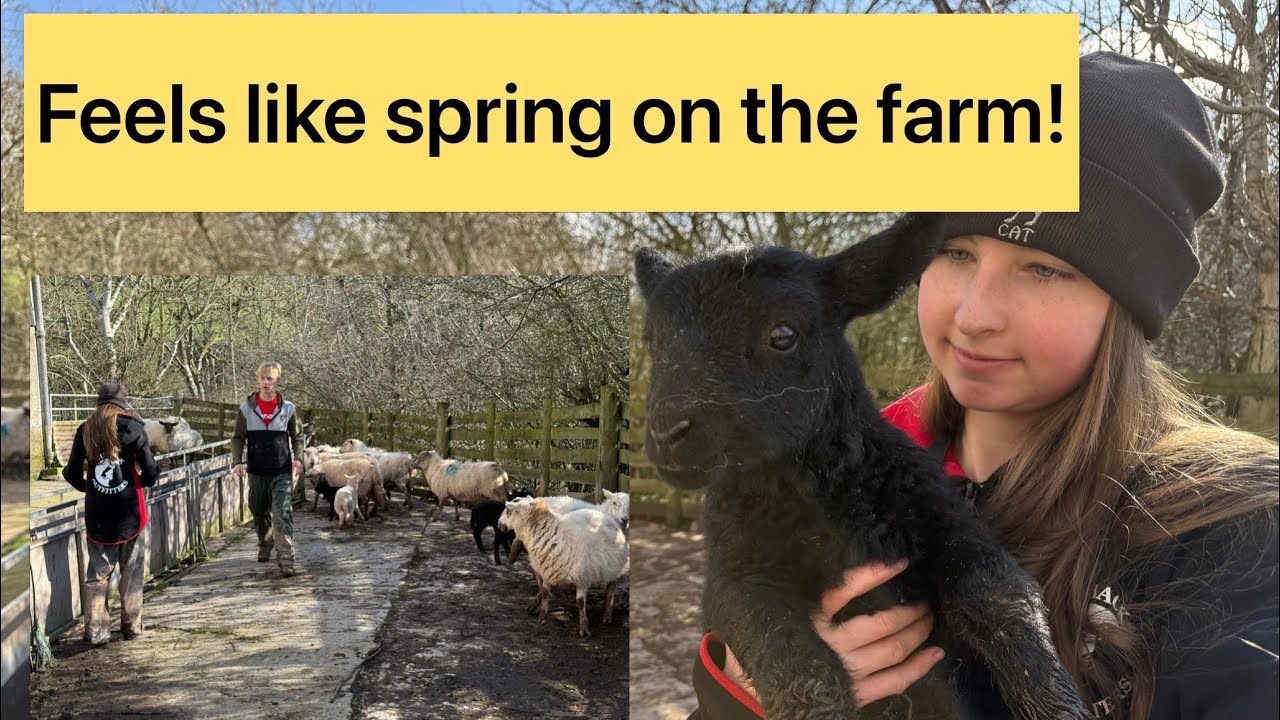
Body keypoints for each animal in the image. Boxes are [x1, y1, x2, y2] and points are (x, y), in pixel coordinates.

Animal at [500, 498, 629, 637]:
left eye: (508, 511)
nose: (498, 524)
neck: (554, 535)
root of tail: (609, 518)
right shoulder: (547, 570)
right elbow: (545, 592)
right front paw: (543, 616)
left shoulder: (583, 577)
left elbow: (580, 602)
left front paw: (584, 627)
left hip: (614, 569)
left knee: (610, 591)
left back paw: (607, 616)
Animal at [634, 215, 1088, 720]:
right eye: (652, 340)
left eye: (783, 335)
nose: (666, 431)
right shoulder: (733, 573)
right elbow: (796, 664)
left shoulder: (949, 525)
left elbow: (998, 595)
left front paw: (1060, 705)